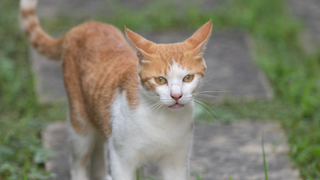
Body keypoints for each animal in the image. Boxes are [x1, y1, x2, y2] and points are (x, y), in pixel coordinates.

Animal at [19, 0, 210, 179]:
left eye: (188, 78)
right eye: (160, 80)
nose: (176, 95)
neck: (162, 120)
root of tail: (85, 25)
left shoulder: (177, 161)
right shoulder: (121, 158)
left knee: (97, 149)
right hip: (80, 125)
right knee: (77, 161)